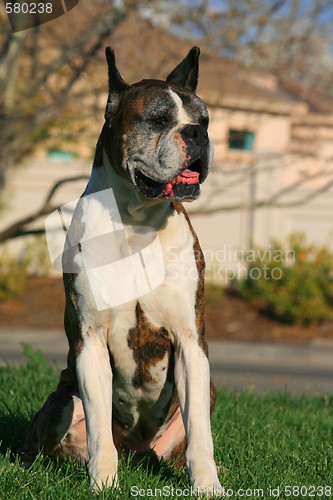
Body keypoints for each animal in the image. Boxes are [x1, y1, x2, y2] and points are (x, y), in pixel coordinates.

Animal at [22, 46, 224, 496]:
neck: (137, 222)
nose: (198, 135)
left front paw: (208, 485)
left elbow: (201, 435)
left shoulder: (190, 342)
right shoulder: (90, 341)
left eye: (203, 120)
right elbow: (99, 427)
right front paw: (103, 482)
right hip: (62, 400)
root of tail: (137, 451)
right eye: (159, 119)